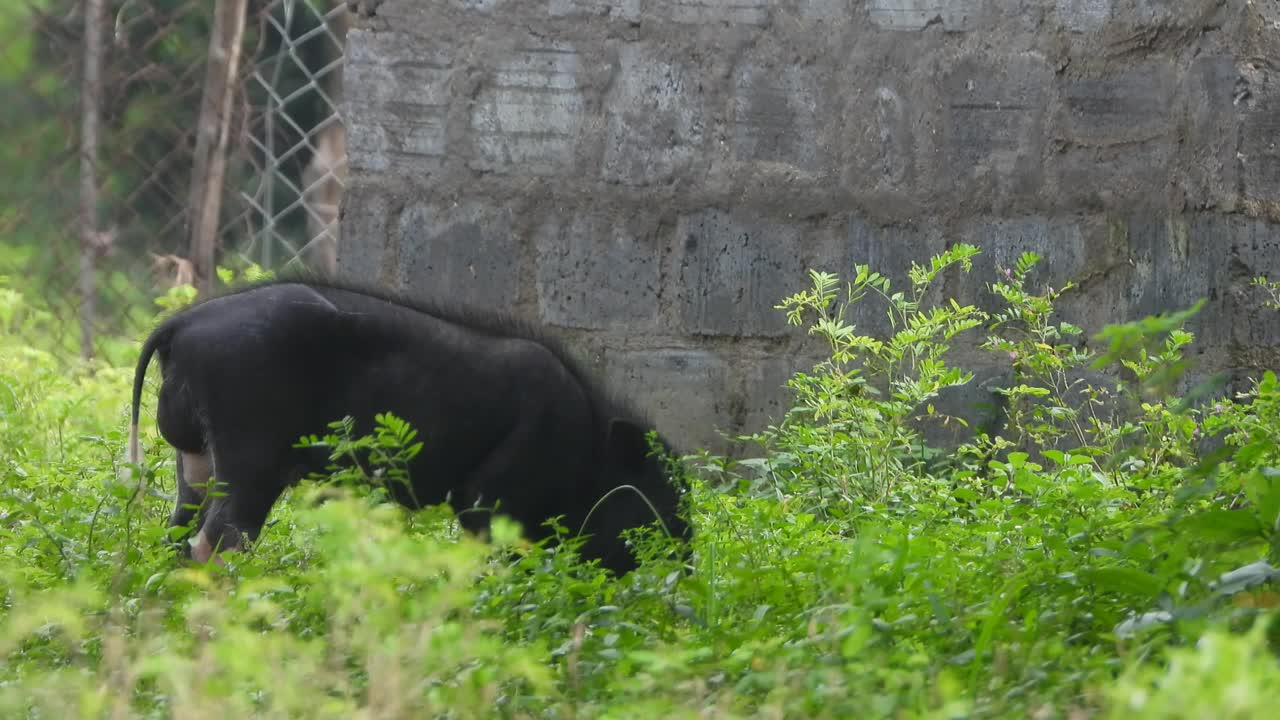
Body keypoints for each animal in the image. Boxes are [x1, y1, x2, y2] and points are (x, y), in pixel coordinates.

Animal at [127, 279, 691, 571]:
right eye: (656, 497)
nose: (684, 567)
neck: (590, 453)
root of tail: (181, 324)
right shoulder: (488, 499)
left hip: (196, 458)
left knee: (179, 532)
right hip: (250, 453)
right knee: (219, 540)